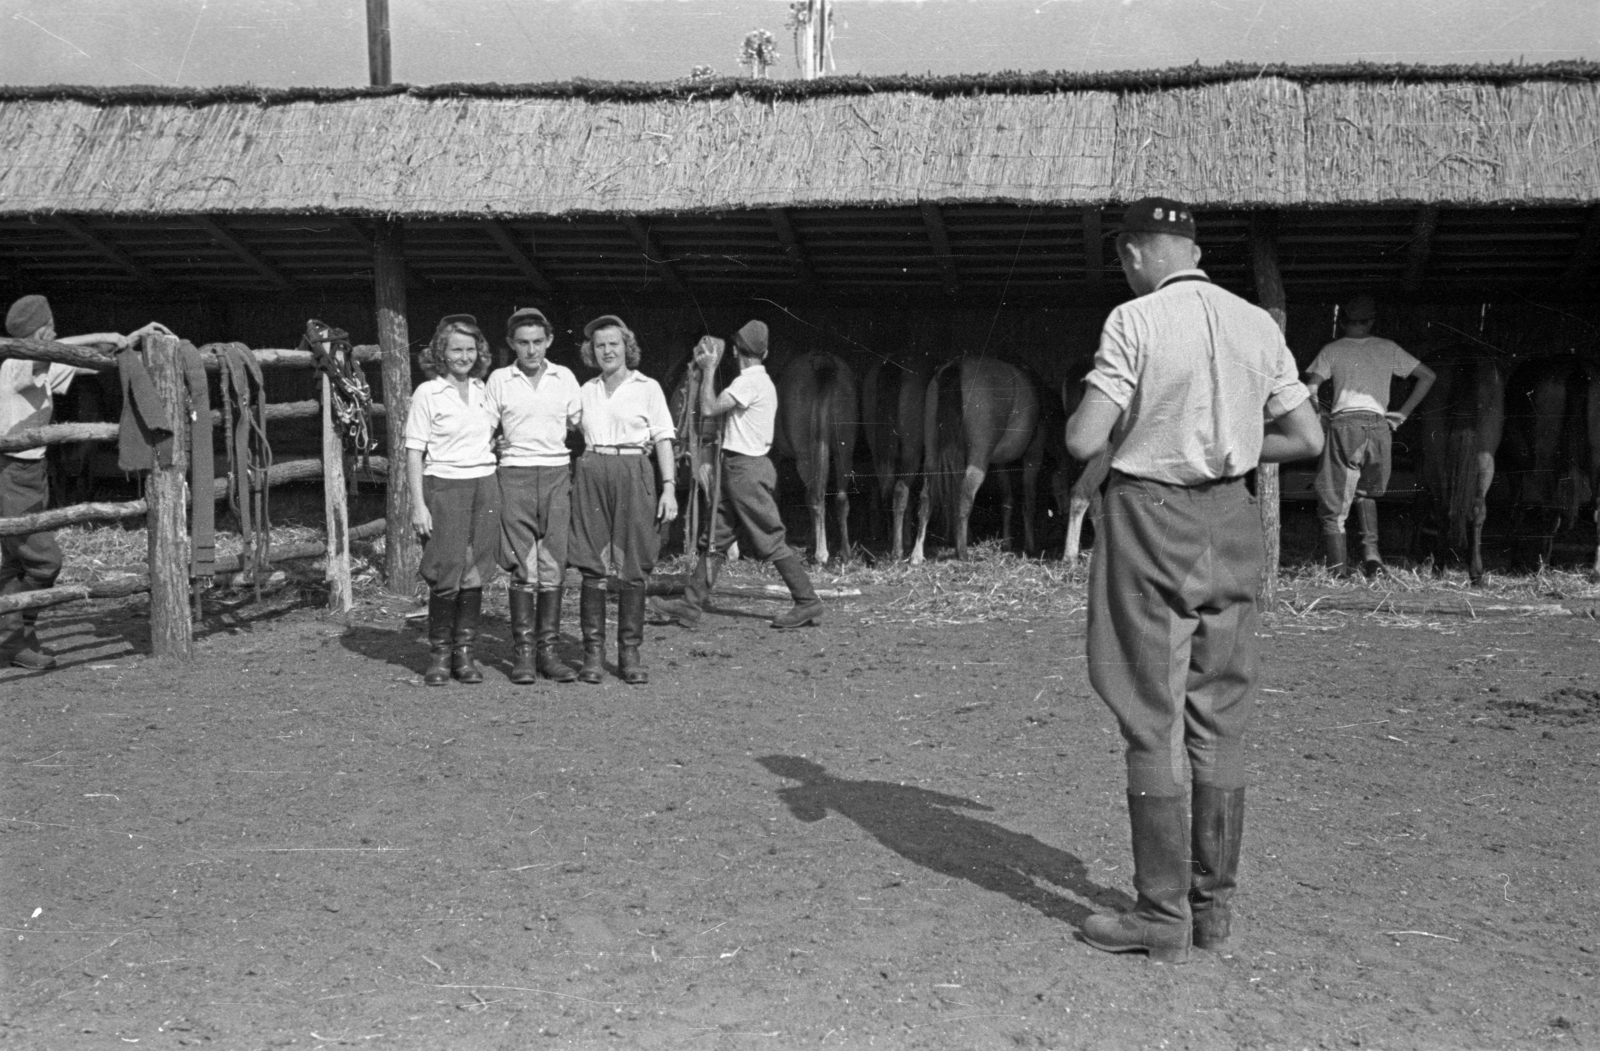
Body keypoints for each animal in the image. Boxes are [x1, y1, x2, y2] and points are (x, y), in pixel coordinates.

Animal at [771, 350, 857, 566]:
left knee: (816, 495)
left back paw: (821, 554)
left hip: (806, 455)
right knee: (840, 498)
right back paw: (845, 552)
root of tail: (823, 362)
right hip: (844, 449)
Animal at [921, 356, 1043, 563]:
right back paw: (962, 553)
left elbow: (1007, 500)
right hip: (979, 458)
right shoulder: (1033, 455)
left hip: (932, 454)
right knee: (965, 495)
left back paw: (917, 555)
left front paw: (1007, 544)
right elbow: (1029, 503)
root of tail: (957, 366)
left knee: (927, 496)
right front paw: (1030, 547)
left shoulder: (1001, 463)